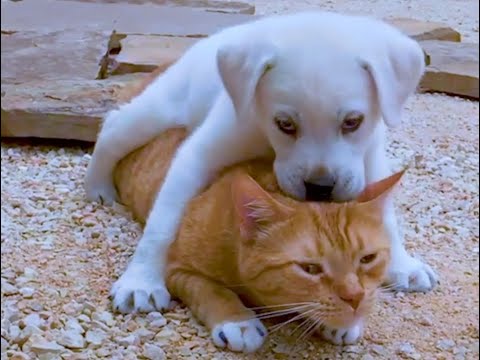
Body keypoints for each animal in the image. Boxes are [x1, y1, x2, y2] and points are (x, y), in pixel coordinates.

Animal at [84, 11, 436, 320]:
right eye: (284, 124)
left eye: (353, 122)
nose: (319, 188)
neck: (266, 140)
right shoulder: (197, 156)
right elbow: (163, 222)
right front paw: (141, 280)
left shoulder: (369, 160)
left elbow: (385, 217)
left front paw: (404, 265)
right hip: (158, 112)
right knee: (113, 127)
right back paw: (98, 187)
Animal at [112, 128, 402, 352]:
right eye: (310, 268)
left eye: (368, 259)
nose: (355, 298)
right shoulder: (176, 267)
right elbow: (211, 289)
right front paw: (237, 321)